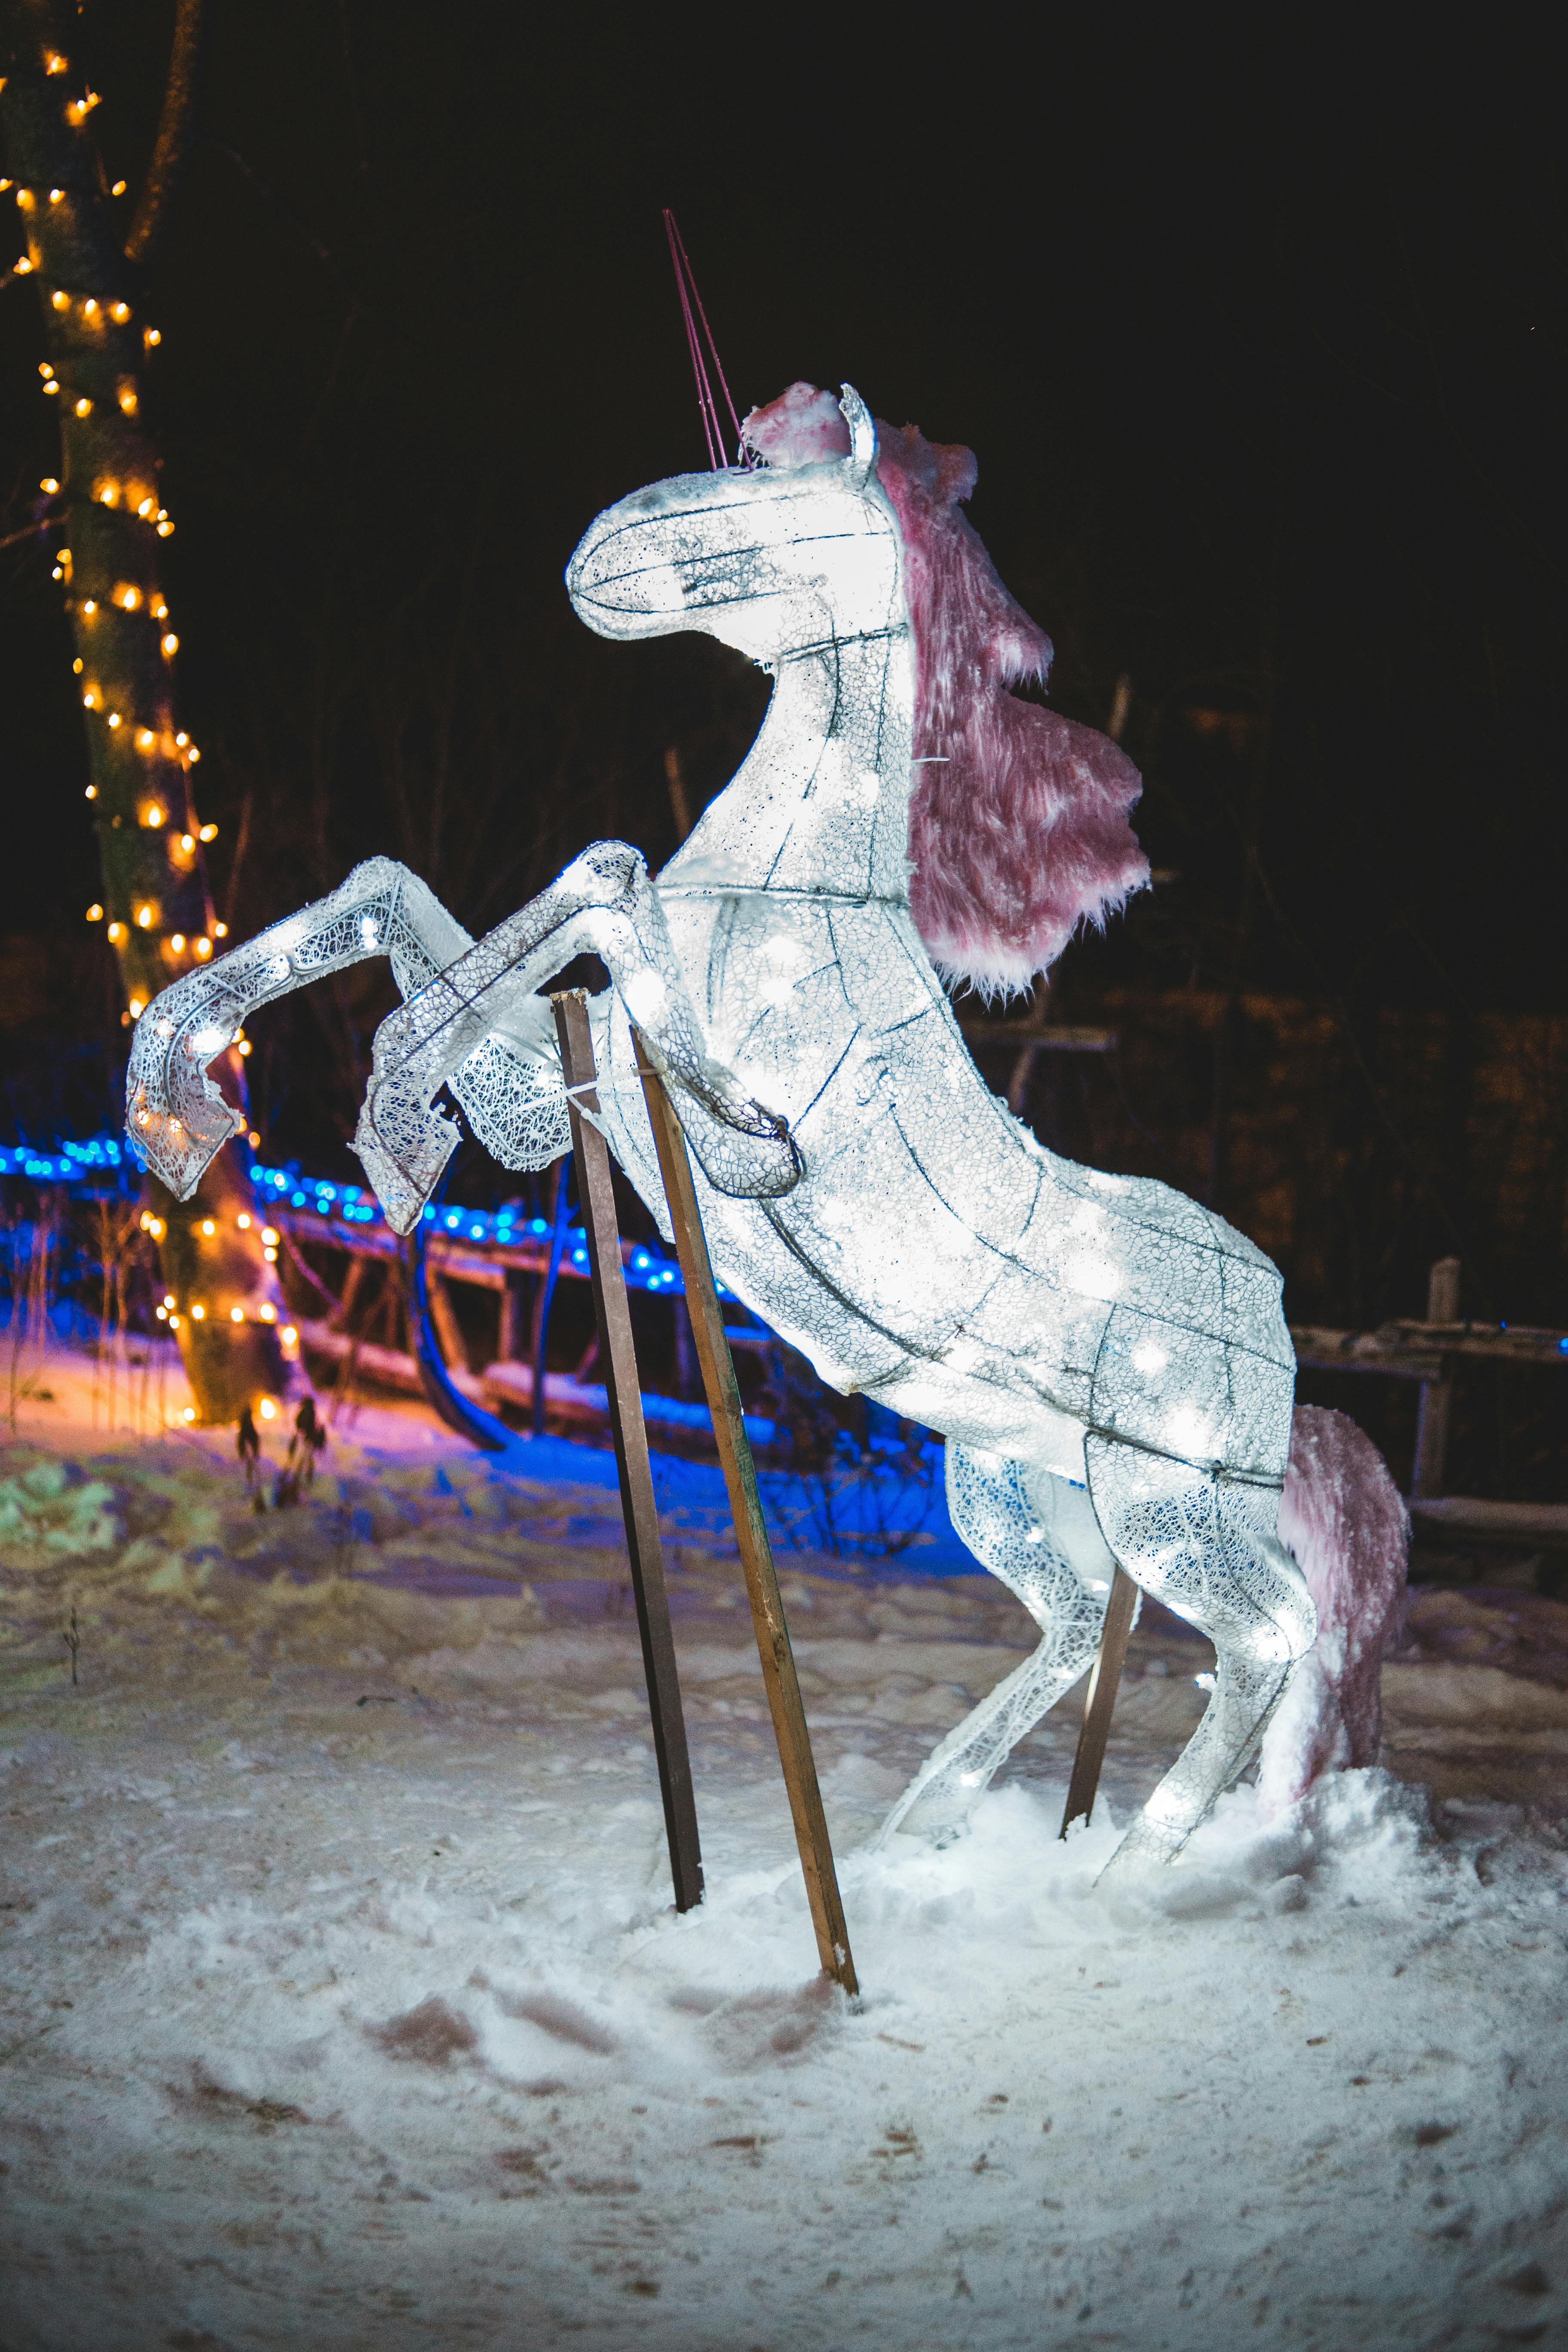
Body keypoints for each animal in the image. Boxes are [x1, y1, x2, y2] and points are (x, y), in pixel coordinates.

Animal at [129, 381, 1316, 1872]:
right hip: (1006, 1473)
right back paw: (925, 1829)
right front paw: (177, 1105)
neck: (792, 893)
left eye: (780, 488)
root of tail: (1273, 1306)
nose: (597, 557)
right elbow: (396, 896)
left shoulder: (697, 1091)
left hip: (1166, 1494)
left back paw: (1136, 1863)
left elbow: (599, 880)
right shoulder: (578, 1084)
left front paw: (401, 1121)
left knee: (1275, 1631)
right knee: (1083, 1619)